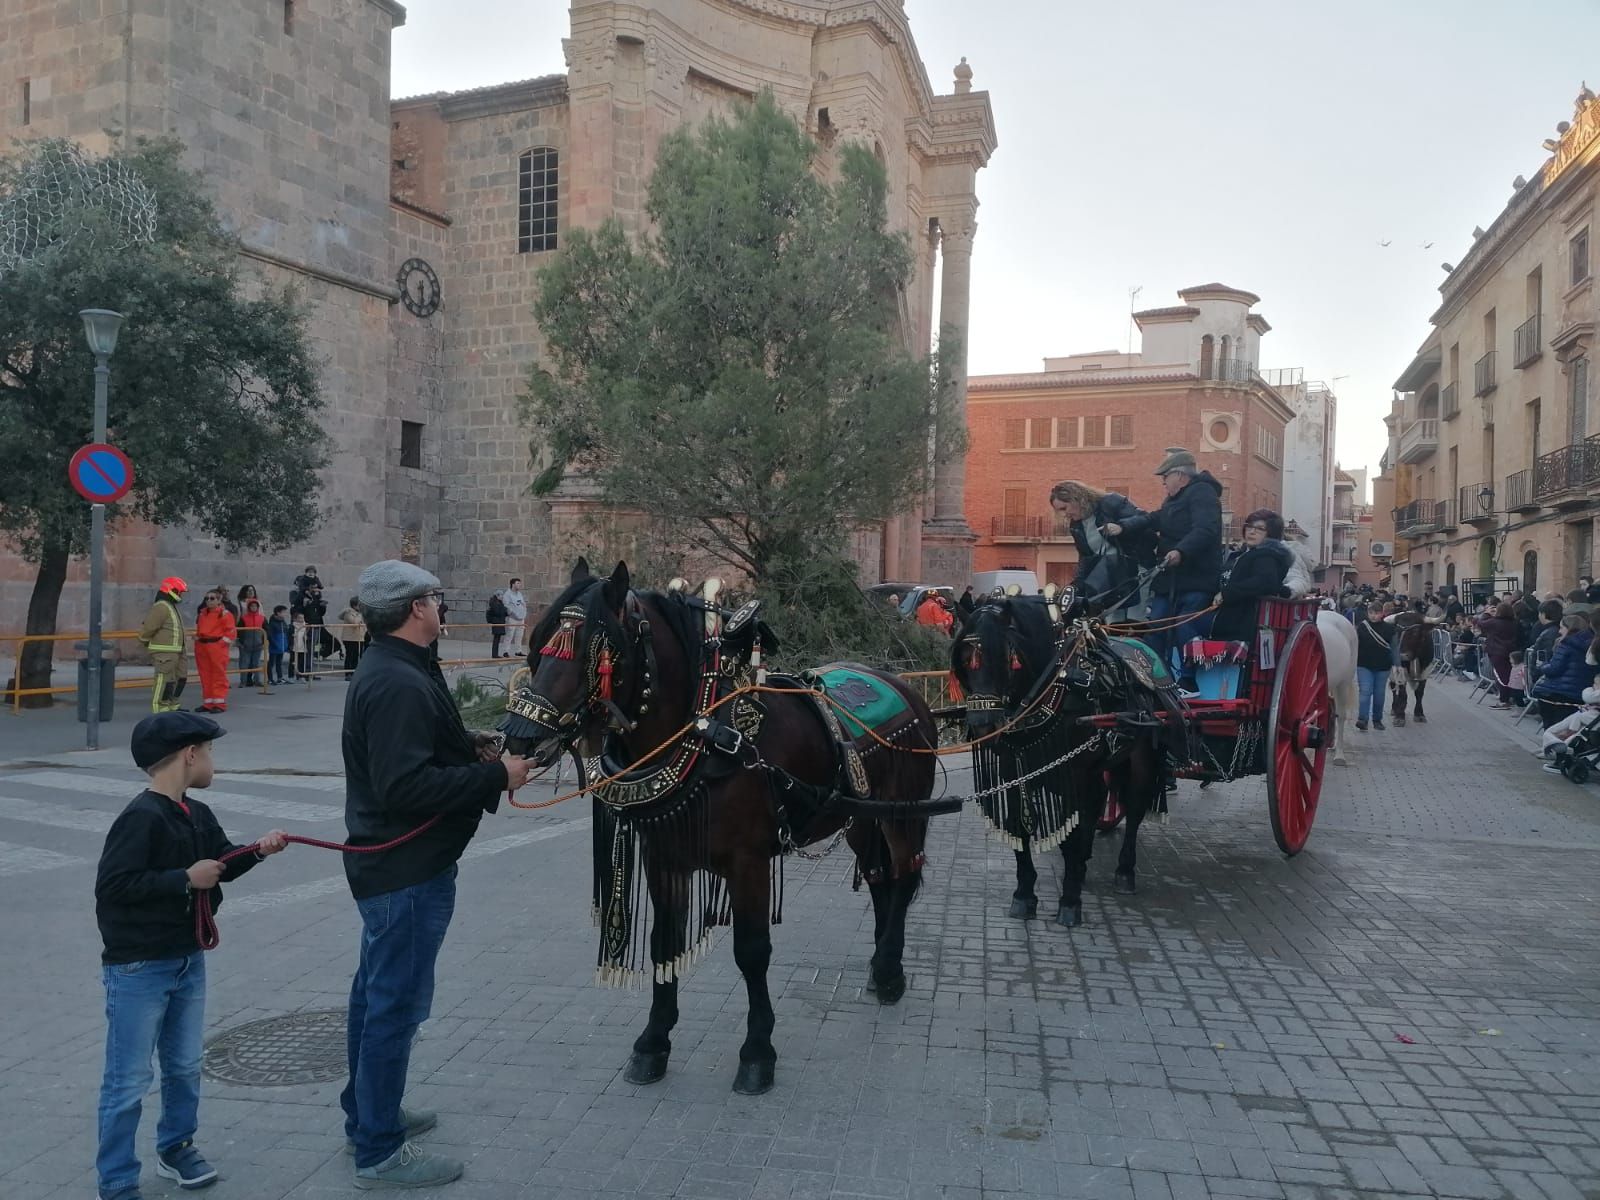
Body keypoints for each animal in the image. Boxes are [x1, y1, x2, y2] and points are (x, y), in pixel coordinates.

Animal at [502, 563, 934, 1100]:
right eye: (539, 644)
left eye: (589, 650)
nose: (519, 737)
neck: (705, 736)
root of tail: (901, 685)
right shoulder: (664, 860)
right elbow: (663, 943)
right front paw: (653, 1042)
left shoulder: (748, 865)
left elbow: (752, 953)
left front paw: (758, 1052)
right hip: (861, 816)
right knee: (880, 880)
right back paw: (879, 965)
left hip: (904, 814)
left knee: (903, 878)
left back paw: (891, 972)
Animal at [947, 592, 1164, 928]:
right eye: (964, 659)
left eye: (1006, 657)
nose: (983, 724)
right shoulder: (1014, 770)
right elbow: (1021, 828)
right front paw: (1024, 894)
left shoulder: (1075, 772)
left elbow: (1072, 836)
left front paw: (1070, 901)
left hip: (1139, 760)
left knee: (1134, 808)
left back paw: (1125, 871)